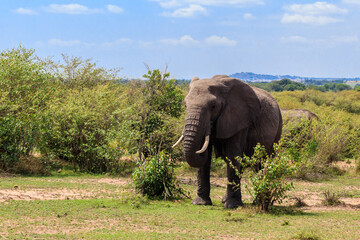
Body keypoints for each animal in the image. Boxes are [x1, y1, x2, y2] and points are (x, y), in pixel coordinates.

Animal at [173, 75, 282, 208]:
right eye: (185, 105)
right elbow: (207, 158)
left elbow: (233, 155)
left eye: (213, 106)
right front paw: (200, 203)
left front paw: (232, 206)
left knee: (263, 163)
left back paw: (256, 202)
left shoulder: (239, 120)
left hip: (278, 130)